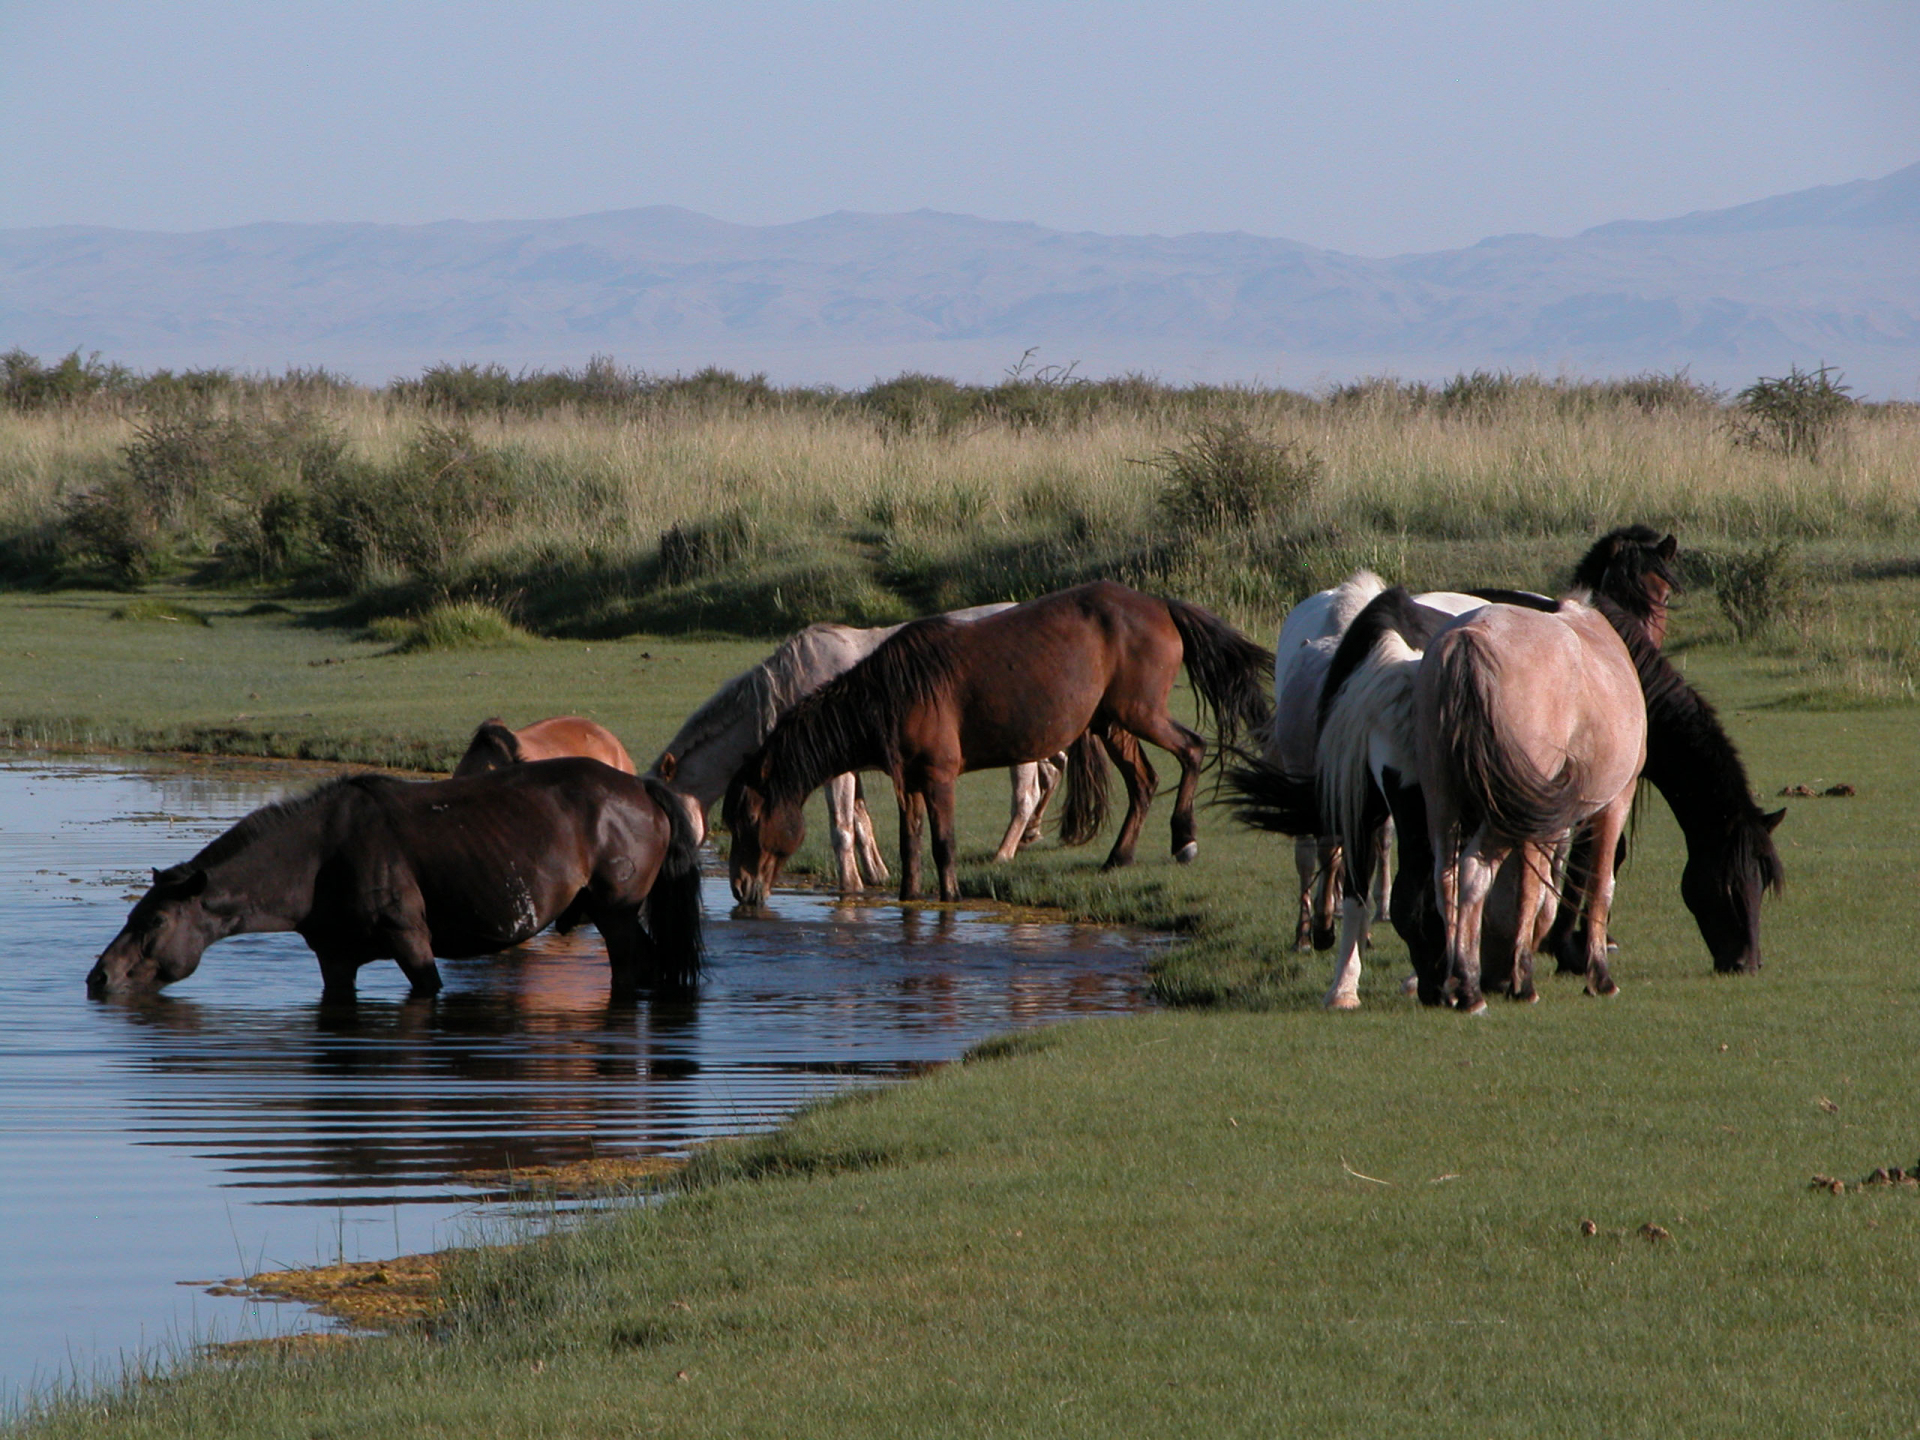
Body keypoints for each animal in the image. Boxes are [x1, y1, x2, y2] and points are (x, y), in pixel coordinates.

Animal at [87, 760, 703, 1002]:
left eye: (156, 920)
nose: (99, 976)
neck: (319, 858)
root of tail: (642, 788)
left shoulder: (411, 942)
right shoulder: (335, 960)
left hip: (616, 913)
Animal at [650, 604, 1064, 892]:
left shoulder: (837, 773)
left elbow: (842, 826)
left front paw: (850, 886)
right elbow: (862, 821)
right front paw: (876, 872)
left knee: (1025, 795)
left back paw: (1003, 853)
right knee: (1051, 773)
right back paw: (1031, 836)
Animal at [725, 581, 1273, 906]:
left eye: (749, 818)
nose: (739, 887)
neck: (894, 692)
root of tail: (1161, 605)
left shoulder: (939, 777)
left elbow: (943, 846)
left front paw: (949, 899)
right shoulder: (911, 783)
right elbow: (911, 848)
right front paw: (909, 898)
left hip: (1140, 714)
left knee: (1192, 750)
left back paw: (1184, 840)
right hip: (1110, 724)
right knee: (1144, 782)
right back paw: (1118, 858)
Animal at [1415, 599, 1646, 1011]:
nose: (1496, 977)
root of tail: (1470, 636)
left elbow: (1532, 891)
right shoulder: (1615, 802)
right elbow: (1596, 886)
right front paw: (1597, 977)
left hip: (1441, 798)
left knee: (1447, 879)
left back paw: (1455, 983)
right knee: (1473, 873)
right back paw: (1470, 987)